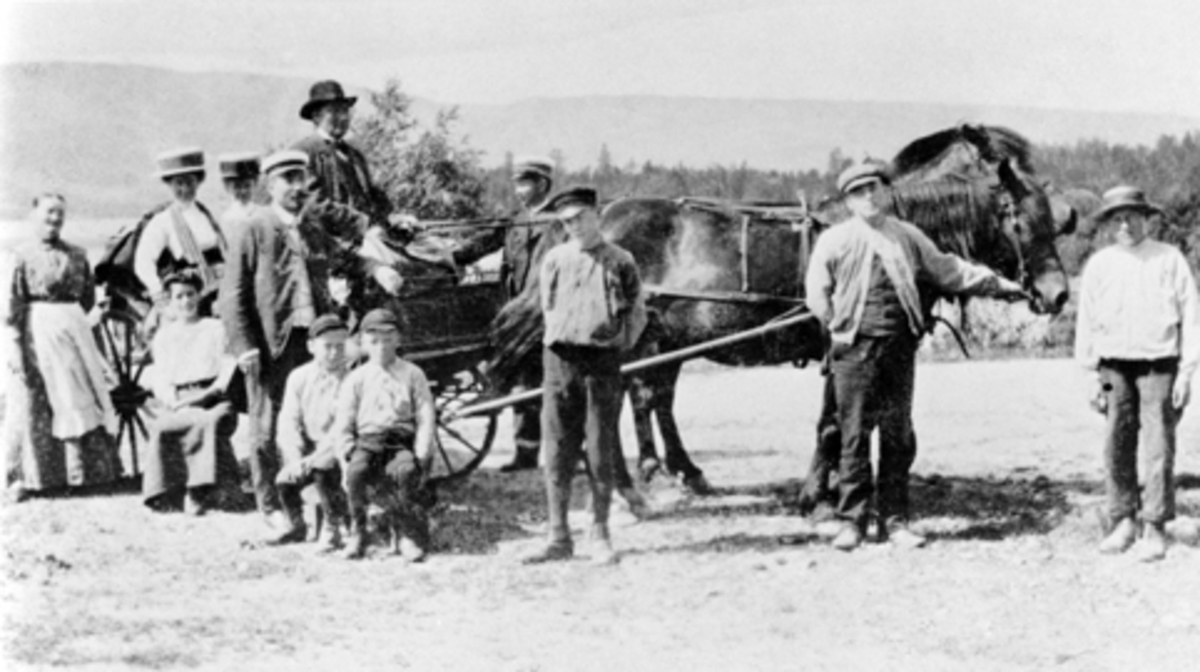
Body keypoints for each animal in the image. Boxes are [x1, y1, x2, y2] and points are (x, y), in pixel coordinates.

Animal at [492, 124, 1075, 494]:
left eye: (1052, 216)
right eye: (1019, 218)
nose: (1057, 294)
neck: (883, 229)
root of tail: (590, 222)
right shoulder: (839, 345)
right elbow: (835, 421)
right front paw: (822, 488)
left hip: (663, 341)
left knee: (646, 399)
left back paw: (673, 472)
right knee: (626, 402)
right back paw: (635, 479)